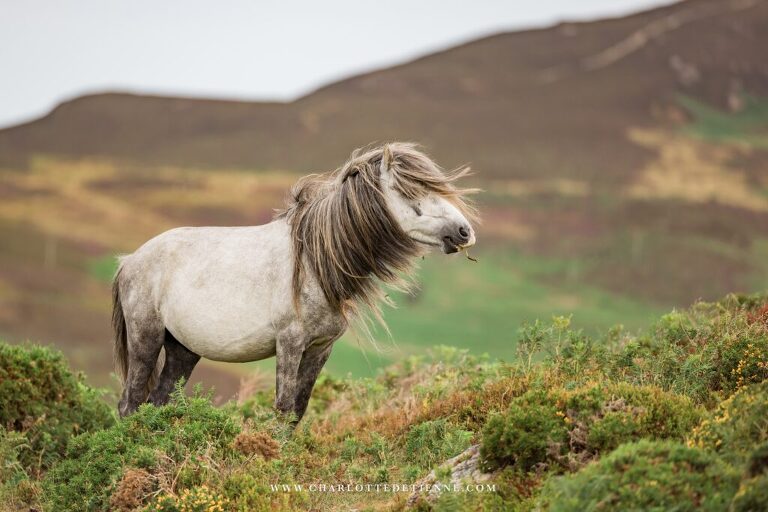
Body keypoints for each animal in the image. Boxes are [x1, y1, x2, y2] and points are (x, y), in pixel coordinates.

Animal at [111, 142, 478, 421]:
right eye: (409, 191)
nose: (464, 232)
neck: (315, 263)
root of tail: (129, 260)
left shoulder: (320, 349)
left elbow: (297, 412)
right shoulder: (289, 343)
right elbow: (283, 407)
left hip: (183, 350)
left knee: (158, 402)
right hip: (146, 339)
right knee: (130, 404)